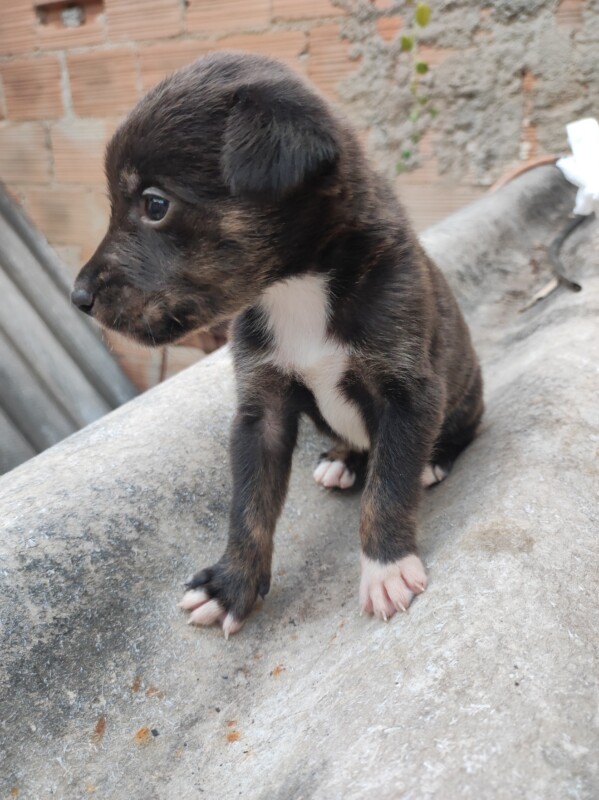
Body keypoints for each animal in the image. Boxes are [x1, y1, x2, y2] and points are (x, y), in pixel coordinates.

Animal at [72, 51, 486, 636]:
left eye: (155, 204)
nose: (78, 296)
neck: (295, 288)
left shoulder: (409, 393)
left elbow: (388, 488)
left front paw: (385, 566)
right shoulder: (261, 408)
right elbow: (249, 505)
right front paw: (230, 584)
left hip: (464, 395)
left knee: (450, 435)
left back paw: (433, 460)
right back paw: (342, 459)